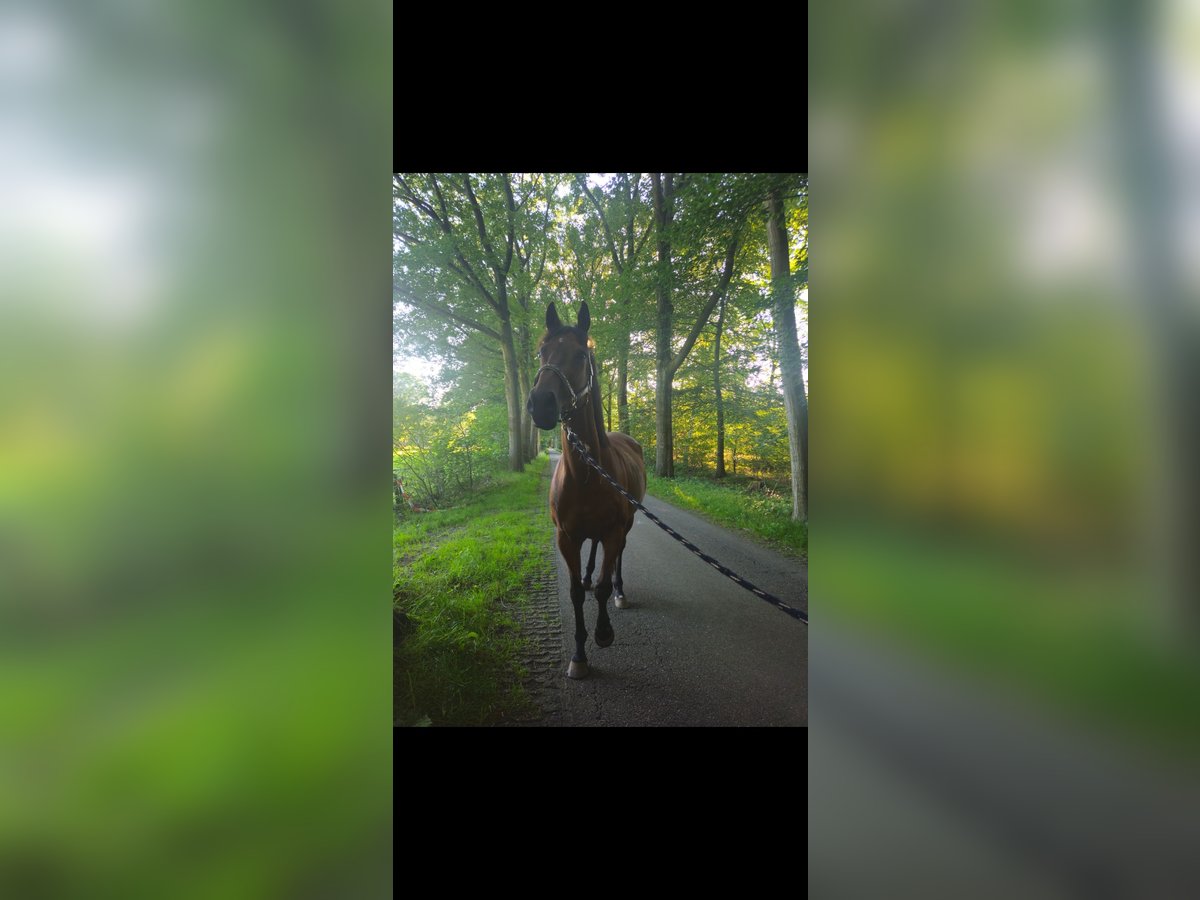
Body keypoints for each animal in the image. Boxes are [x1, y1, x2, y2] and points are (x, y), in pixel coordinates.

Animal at [528, 300, 648, 681]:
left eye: (581, 355)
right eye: (542, 351)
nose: (541, 404)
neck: (585, 474)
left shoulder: (613, 531)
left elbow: (605, 585)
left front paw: (604, 632)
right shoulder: (566, 537)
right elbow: (575, 594)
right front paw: (579, 655)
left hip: (626, 526)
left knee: (618, 559)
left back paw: (620, 591)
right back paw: (588, 574)